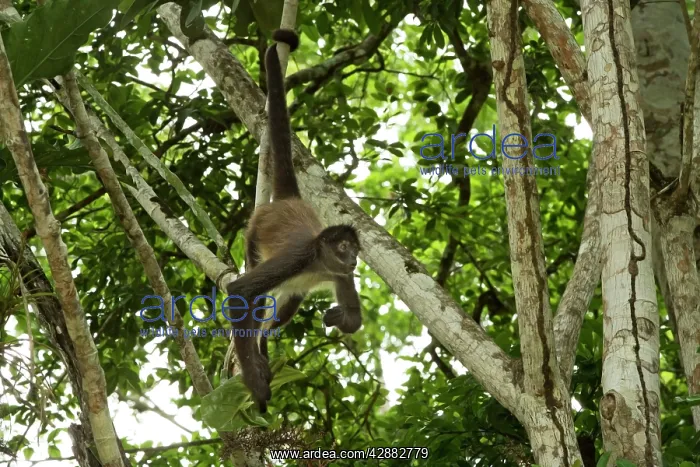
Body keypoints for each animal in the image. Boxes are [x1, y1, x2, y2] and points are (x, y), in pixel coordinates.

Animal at [225, 29, 363, 413]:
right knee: (256, 298)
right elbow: (239, 292)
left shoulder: (339, 272)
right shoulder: (299, 256)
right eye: (343, 246)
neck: (318, 261)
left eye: (355, 249)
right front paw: (255, 383)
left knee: (283, 308)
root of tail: (290, 200)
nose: (354, 258)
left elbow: (353, 316)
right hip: (254, 236)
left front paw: (341, 319)